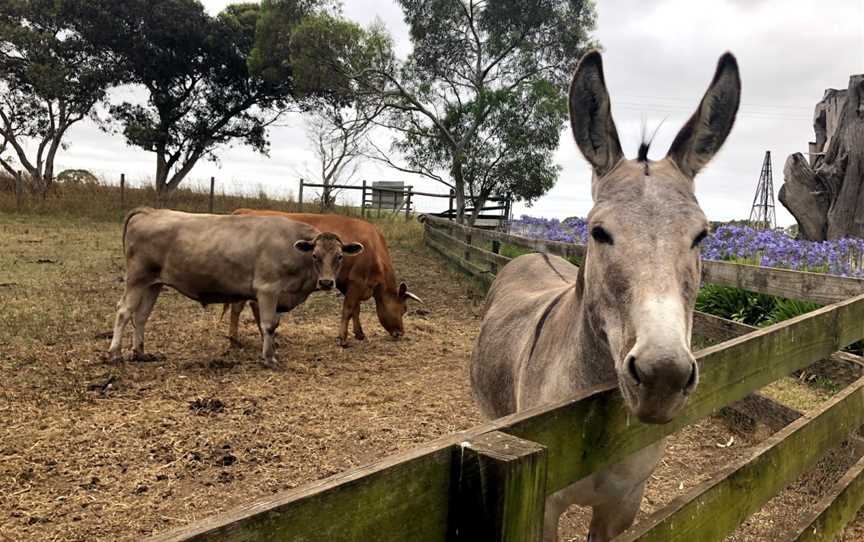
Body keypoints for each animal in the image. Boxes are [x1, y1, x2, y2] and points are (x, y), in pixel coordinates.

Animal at [109, 210, 364, 368]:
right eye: (315, 256)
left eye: (339, 257)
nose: (327, 282)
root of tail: (149, 211)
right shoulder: (268, 290)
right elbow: (268, 325)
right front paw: (269, 359)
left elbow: (274, 326)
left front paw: (272, 352)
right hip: (137, 279)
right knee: (123, 311)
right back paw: (115, 353)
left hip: (154, 283)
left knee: (141, 316)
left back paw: (140, 353)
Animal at [228, 210, 420, 346]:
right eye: (403, 309)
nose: (400, 333)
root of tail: (243, 212)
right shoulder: (356, 283)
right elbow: (348, 310)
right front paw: (342, 339)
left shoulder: (352, 286)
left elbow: (355, 310)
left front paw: (359, 333)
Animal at [470, 50, 740, 540]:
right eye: (598, 232)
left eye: (702, 236)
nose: (663, 376)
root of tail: (536, 253)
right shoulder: (543, 510)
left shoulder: (624, 502)